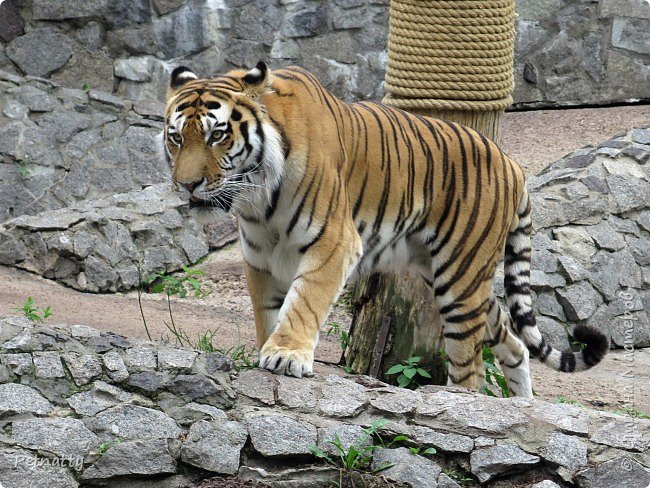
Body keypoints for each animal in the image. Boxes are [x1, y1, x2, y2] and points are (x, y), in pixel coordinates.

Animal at [162, 62, 608, 396]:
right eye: (176, 138)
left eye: (217, 135)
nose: (187, 184)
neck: (257, 194)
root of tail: (512, 163)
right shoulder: (260, 257)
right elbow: (268, 312)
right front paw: (270, 350)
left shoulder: (334, 242)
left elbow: (305, 301)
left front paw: (286, 355)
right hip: (449, 276)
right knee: (514, 344)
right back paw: (522, 408)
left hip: (460, 279)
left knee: (471, 372)